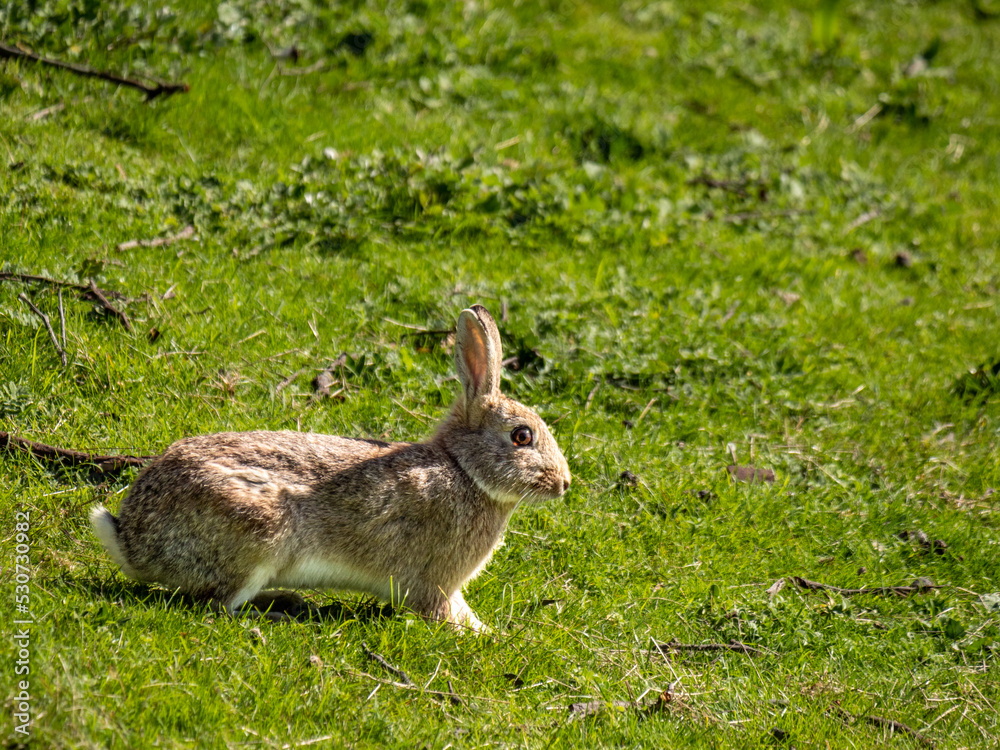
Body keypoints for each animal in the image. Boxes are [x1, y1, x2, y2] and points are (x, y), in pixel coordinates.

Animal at [90, 304, 571, 633]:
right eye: (522, 436)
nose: (564, 483)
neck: (464, 471)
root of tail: (132, 541)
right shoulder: (434, 582)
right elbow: (445, 613)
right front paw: (487, 635)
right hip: (259, 531)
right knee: (217, 604)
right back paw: (280, 611)